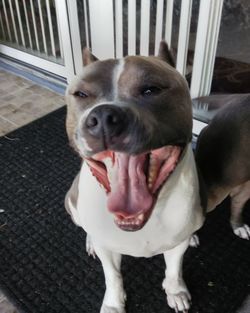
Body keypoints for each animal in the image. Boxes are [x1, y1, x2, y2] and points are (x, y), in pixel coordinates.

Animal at [64, 42, 205, 312]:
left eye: (151, 89)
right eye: (81, 94)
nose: (103, 118)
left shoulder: (177, 244)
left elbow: (174, 268)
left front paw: (176, 290)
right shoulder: (108, 250)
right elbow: (113, 276)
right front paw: (113, 304)